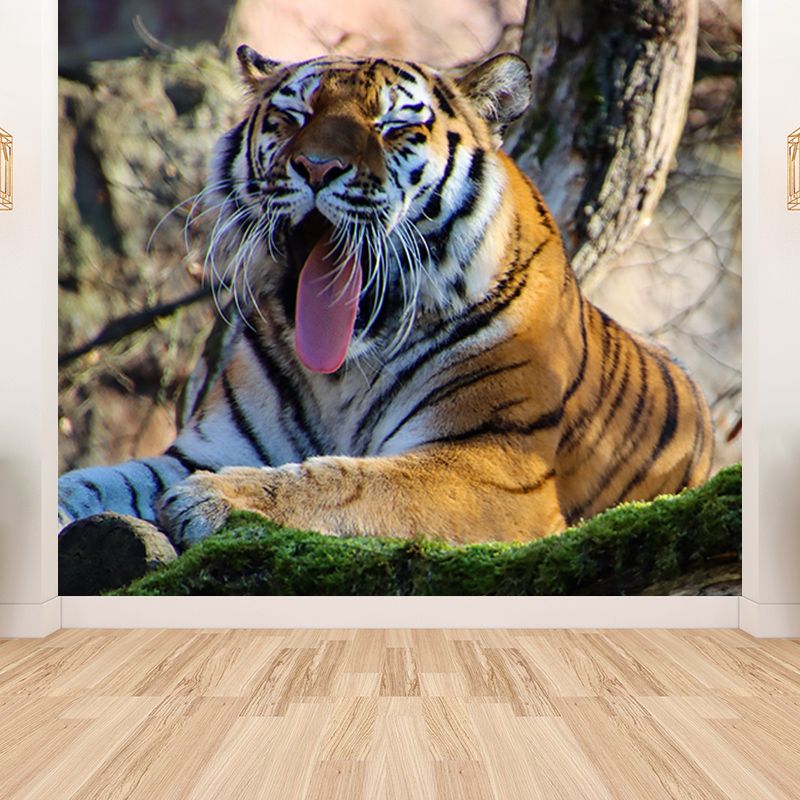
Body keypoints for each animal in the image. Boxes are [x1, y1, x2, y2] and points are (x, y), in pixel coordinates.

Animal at [58, 46, 713, 548]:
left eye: (392, 127)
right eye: (293, 116)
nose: (316, 167)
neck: (342, 372)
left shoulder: (493, 463)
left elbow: (351, 480)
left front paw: (214, 498)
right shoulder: (202, 449)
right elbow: (96, 481)